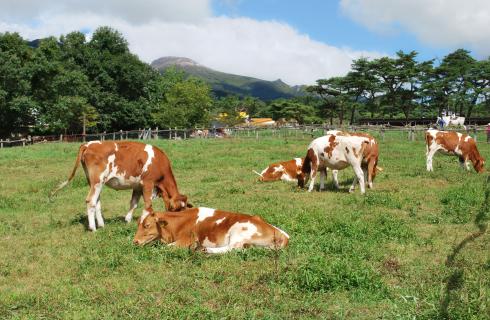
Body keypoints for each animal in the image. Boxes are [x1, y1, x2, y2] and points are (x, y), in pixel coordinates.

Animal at [51, 141, 189, 231]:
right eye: (177, 209)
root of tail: (88, 144)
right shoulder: (148, 183)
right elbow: (148, 205)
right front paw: (145, 221)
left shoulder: (137, 186)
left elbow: (134, 203)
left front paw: (128, 220)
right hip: (97, 180)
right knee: (90, 201)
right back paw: (93, 228)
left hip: (94, 182)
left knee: (97, 202)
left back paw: (101, 225)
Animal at [132, 208, 290, 255]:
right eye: (138, 224)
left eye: (147, 225)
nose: (135, 242)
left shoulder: (188, 240)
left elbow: (164, 248)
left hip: (238, 231)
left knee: (232, 249)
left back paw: (205, 250)